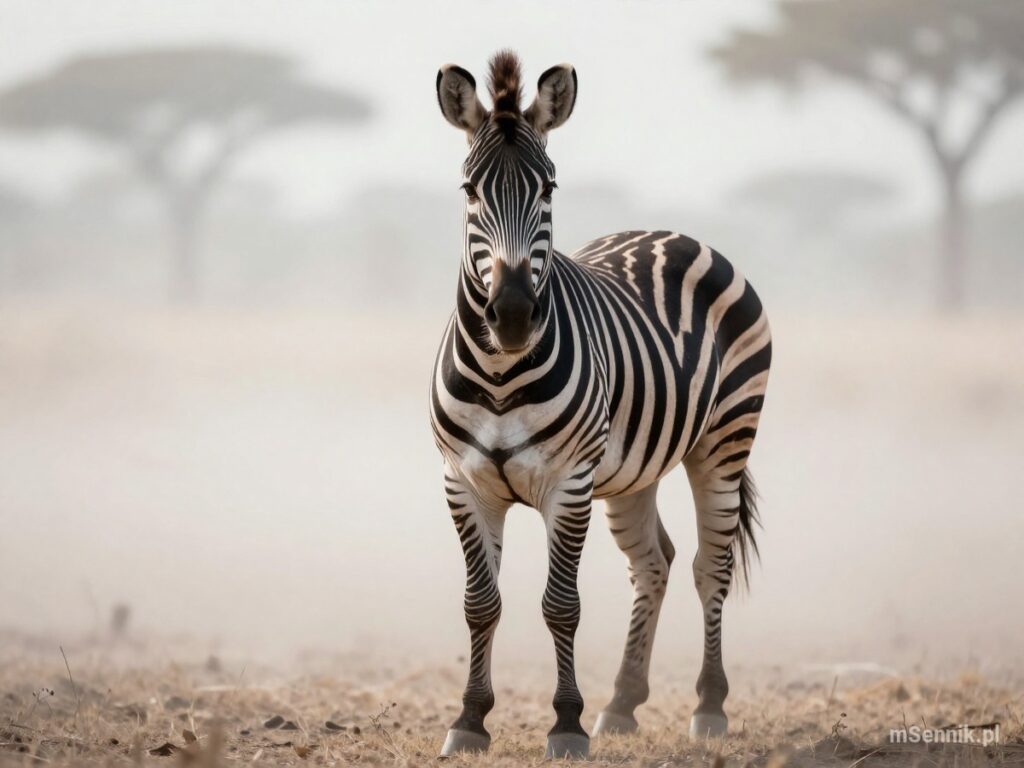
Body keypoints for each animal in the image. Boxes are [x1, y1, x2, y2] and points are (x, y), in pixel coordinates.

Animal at [430, 51, 771, 759]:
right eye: (469, 191)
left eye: (549, 189)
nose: (511, 315)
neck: (500, 374)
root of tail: (667, 232)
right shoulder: (462, 481)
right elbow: (481, 603)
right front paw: (470, 720)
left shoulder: (569, 483)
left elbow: (561, 604)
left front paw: (566, 723)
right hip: (631, 471)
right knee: (654, 563)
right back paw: (622, 703)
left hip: (724, 441)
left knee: (710, 567)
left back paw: (708, 706)